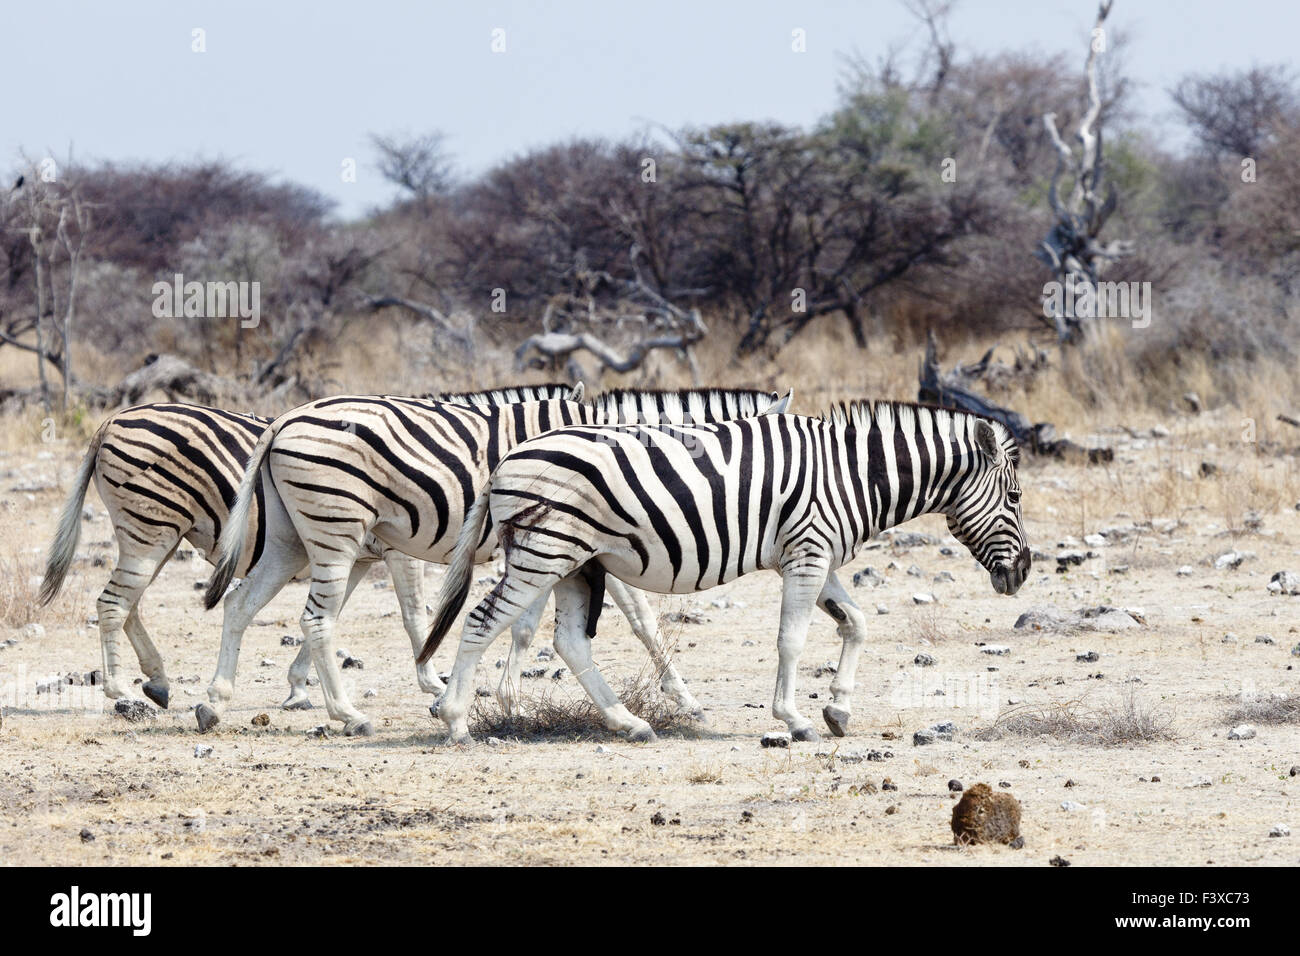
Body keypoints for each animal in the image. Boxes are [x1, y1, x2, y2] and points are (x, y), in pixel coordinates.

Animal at [37, 384, 577, 712]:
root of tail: (111, 421)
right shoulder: (398, 549)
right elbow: (414, 616)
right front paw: (434, 682)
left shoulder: (361, 551)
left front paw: (299, 686)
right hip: (151, 529)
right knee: (115, 602)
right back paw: (119, 690)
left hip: (159, 534)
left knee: (128, 603)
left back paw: (157, 681)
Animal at [202, 387, 790, 736]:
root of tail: (285, 419)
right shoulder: (589, 541)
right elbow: (642, 621)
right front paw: (687, 701)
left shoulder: (557, 546)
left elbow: (526, 625)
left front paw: (499, 700)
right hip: (335, 527)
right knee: (316, 618)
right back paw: (348, 714)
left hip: (294, 538)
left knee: (240, 603)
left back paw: (215, 702)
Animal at [421, 400, 1031, 745]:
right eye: (1016, 497)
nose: (1023, 573)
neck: (854, 473)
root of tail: (505, 460)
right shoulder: (808, 552)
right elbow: (791, 639)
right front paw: (794, 719)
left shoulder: (816, 554)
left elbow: (856, 623)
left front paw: (838, 708)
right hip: (544, 553)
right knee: (481, 620)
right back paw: (455, 721)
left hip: (576, 561)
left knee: (570, 641)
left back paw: (628, 723)